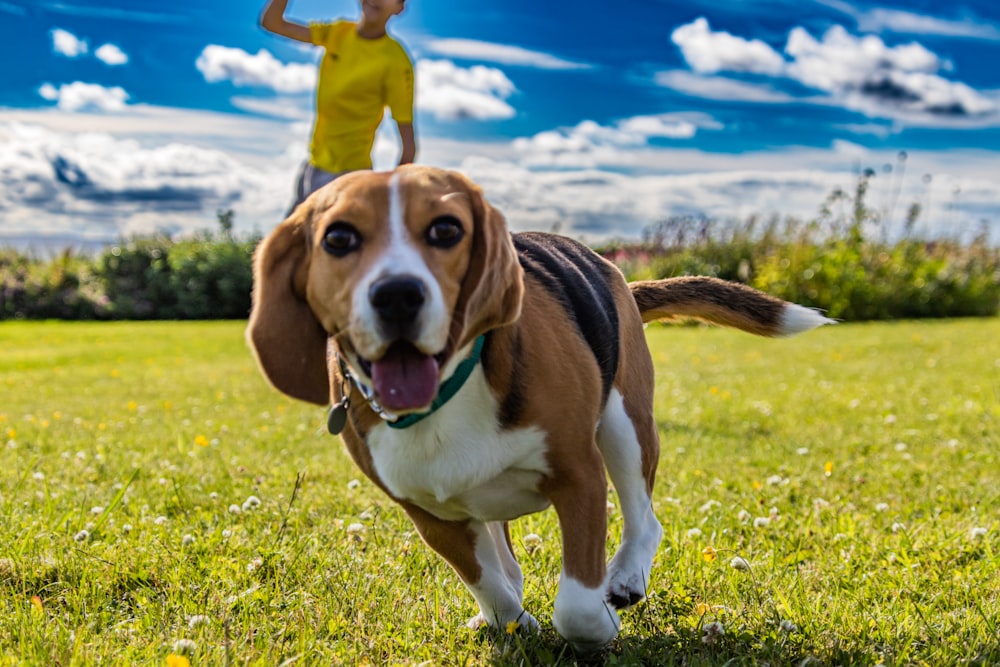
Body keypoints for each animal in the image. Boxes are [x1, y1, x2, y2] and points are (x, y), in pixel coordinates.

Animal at [246, 164, 832, 648]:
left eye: (446, 230)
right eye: (338, 238)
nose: (397, 295)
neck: (450, 392)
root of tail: (615, 272)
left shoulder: (580, 477)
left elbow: (577, 606)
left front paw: (600, 622)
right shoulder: (431, 516)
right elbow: (491, 585)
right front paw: (512, 623)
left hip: (625, 424)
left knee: (644, 519)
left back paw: (625, 577)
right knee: (506, 555)